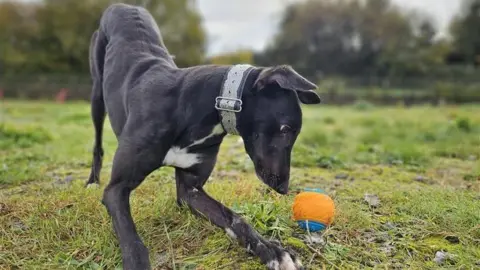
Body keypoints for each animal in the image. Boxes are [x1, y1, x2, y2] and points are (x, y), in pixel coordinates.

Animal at [86, 2, 322, 270]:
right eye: (285, 129)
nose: (283, 188)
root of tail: (123, 6)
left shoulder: (190, 190)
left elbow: (235, 218)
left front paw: (272, 250)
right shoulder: (116, 189)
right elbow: (131, 239)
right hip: (97, 95)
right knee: (97, 141)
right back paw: (92, 180)